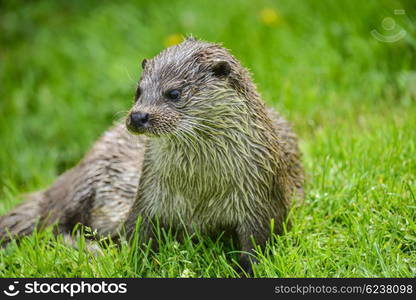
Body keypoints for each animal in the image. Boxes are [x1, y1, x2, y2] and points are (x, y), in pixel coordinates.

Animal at [0, 37, 302, 274]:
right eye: (138, 90)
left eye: (174, 92)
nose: (138, 116)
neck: (200, 192)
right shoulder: (147, 198)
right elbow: (137, 236)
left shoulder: (262, 201)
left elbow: (258, 247)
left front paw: (246, 270)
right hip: (87, 177)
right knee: (52, 222)